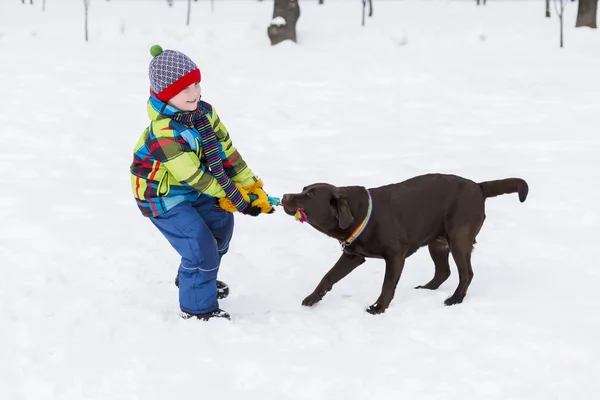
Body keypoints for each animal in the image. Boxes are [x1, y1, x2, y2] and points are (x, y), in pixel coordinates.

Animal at [278, 173, 528, 314]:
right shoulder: (353, 256)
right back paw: (427, 288)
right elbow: (328, 276)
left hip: (459, 238)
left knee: (466, 273)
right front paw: (312, 298)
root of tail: (478, 186)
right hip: (437, 242)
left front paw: (378, 308)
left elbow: (387, 286)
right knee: (443, 272)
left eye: (311, 195)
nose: (283, 196)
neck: (362, 214)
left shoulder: (395, 257)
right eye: (303, 189)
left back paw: (455, 299)